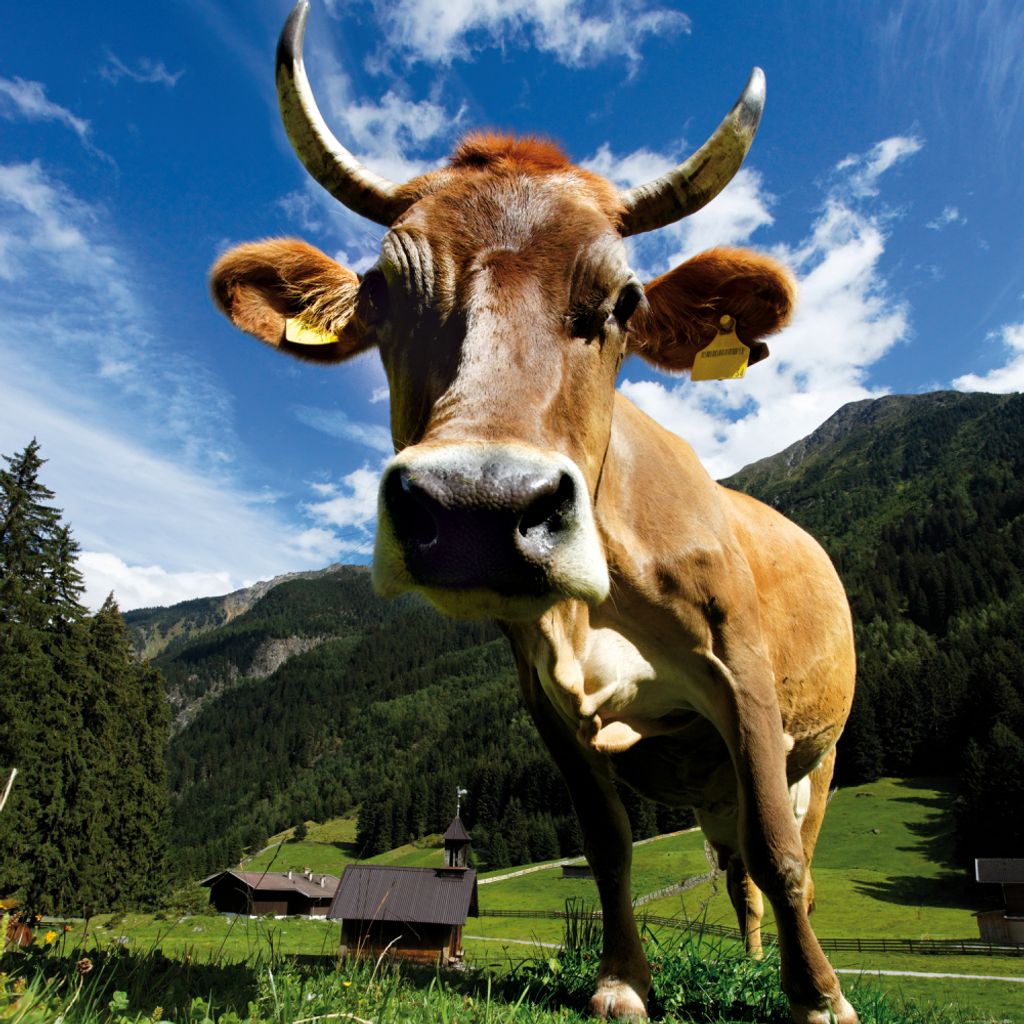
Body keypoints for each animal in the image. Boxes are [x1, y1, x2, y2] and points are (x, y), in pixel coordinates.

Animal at [210, 4, 857, 1021]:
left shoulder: (746, 676)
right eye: (384, 293)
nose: (479, 503)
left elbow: (783, 856)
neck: (601, 603)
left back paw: (793, 973)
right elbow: (610, 848)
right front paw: (623, 982)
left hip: (818, 752)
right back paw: (753, 963)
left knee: (787, 857)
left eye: (623, 300)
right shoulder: (549, 709)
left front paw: (820, 998)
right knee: (734, 869)